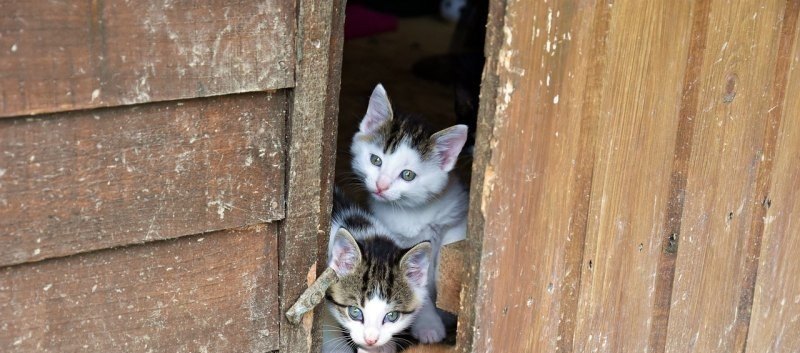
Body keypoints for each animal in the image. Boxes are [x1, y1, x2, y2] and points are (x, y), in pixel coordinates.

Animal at [350, 84, 468, 342]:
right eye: (375, 160)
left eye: (408, 175)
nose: (381, 186)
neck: (412, 211)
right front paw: (429, 326)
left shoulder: (456, 216)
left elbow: (450, 252)